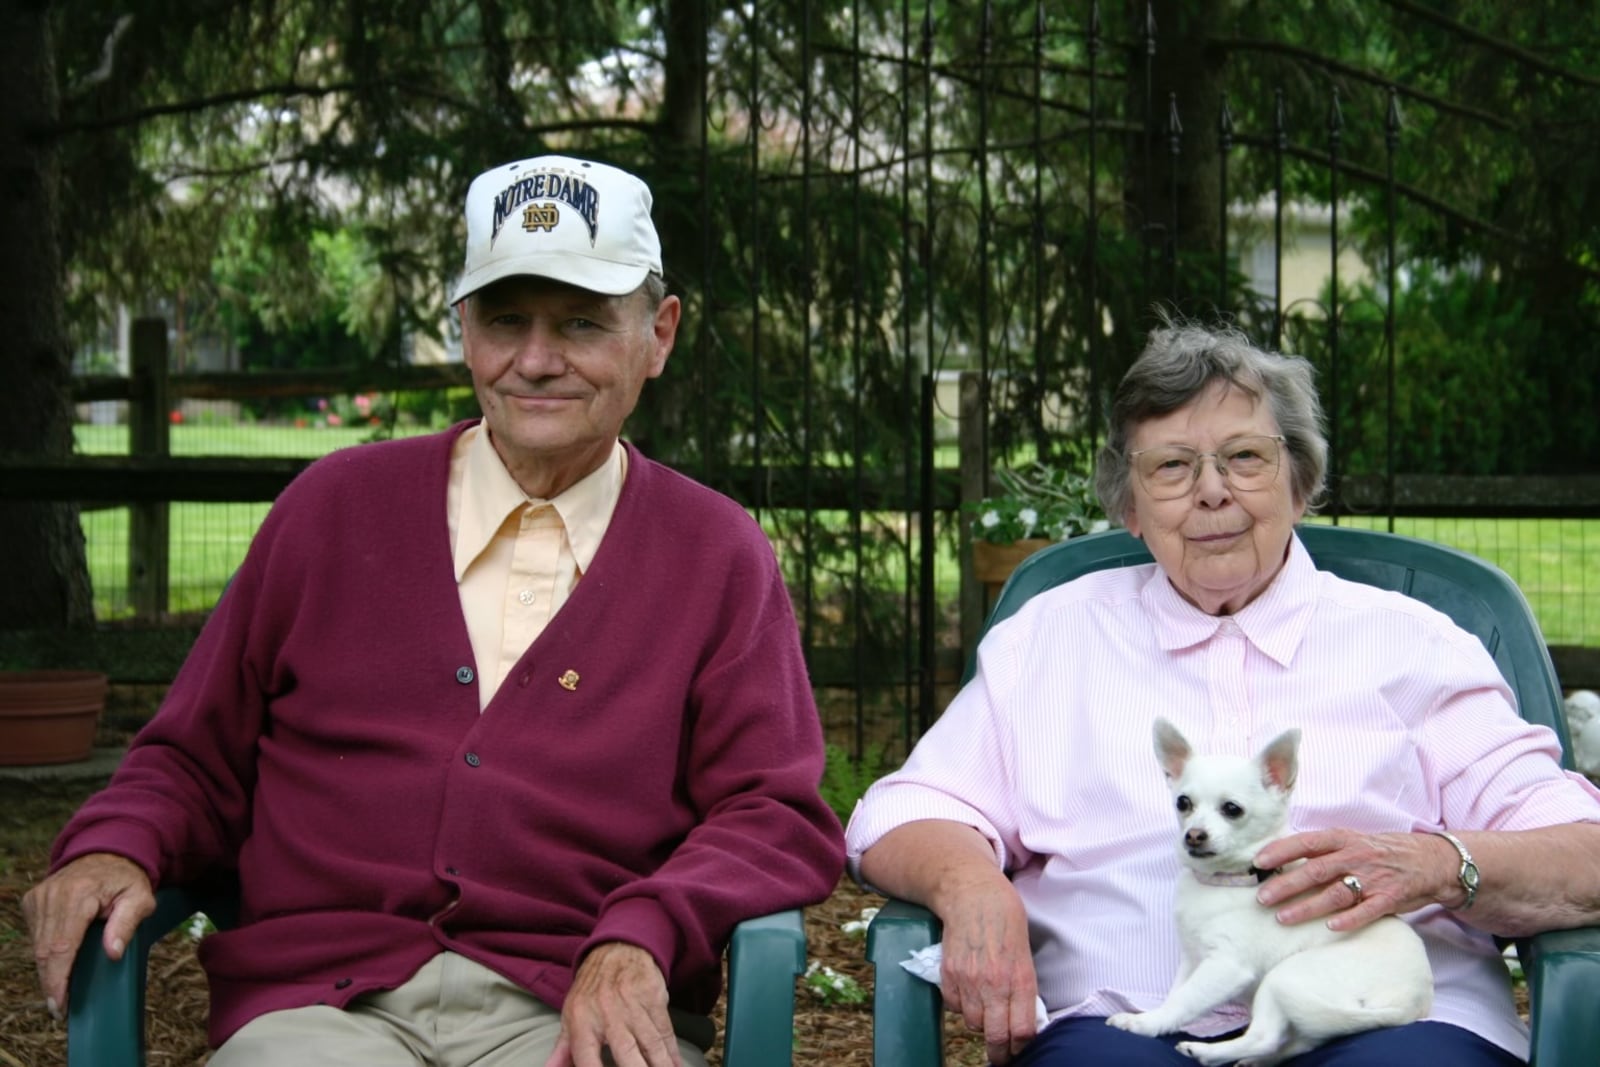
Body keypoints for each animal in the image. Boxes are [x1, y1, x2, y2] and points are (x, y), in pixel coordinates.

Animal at [1107, 723, 1433, 1062]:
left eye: (1232, 809)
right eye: (1183, 803)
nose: (1193, 835)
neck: (1226, 881)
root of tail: (1411, 1002)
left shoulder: (1226, 966)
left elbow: (1184, 1000)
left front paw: (1145, 1022)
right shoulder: (1193, 958)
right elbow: (1177, 993)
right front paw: (1157, 1017)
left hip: (1285, 976)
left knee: (1264, 1036)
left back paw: (1207, 1051)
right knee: (1301, 1040)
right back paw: (1259, 1060)